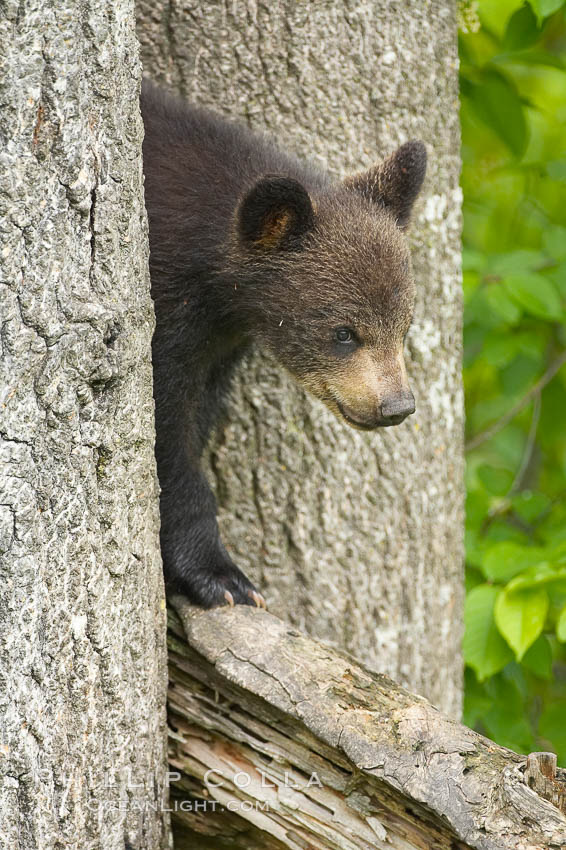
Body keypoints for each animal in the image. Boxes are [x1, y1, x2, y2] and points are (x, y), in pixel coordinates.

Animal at [140, 80, 427, 609]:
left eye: (404, 325)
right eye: (343, 332)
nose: (396, 405)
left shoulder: (218, 342)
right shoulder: (167, 312)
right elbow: (168, 433)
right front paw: (220, 575)